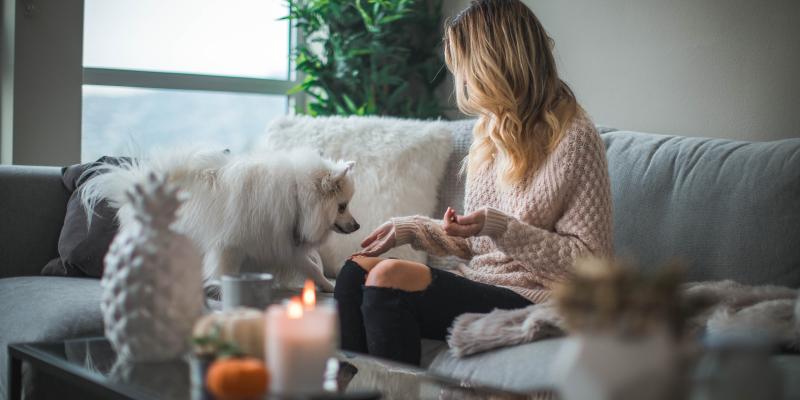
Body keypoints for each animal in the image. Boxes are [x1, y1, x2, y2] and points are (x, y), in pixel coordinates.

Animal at [80, 147, 356, 290]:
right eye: (342, 207)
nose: (358, 225)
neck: (296, 196)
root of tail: (135, 183)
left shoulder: (282, 243)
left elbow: (311, 267)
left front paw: (328, 286)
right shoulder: (231, 246)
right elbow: (226, 271)